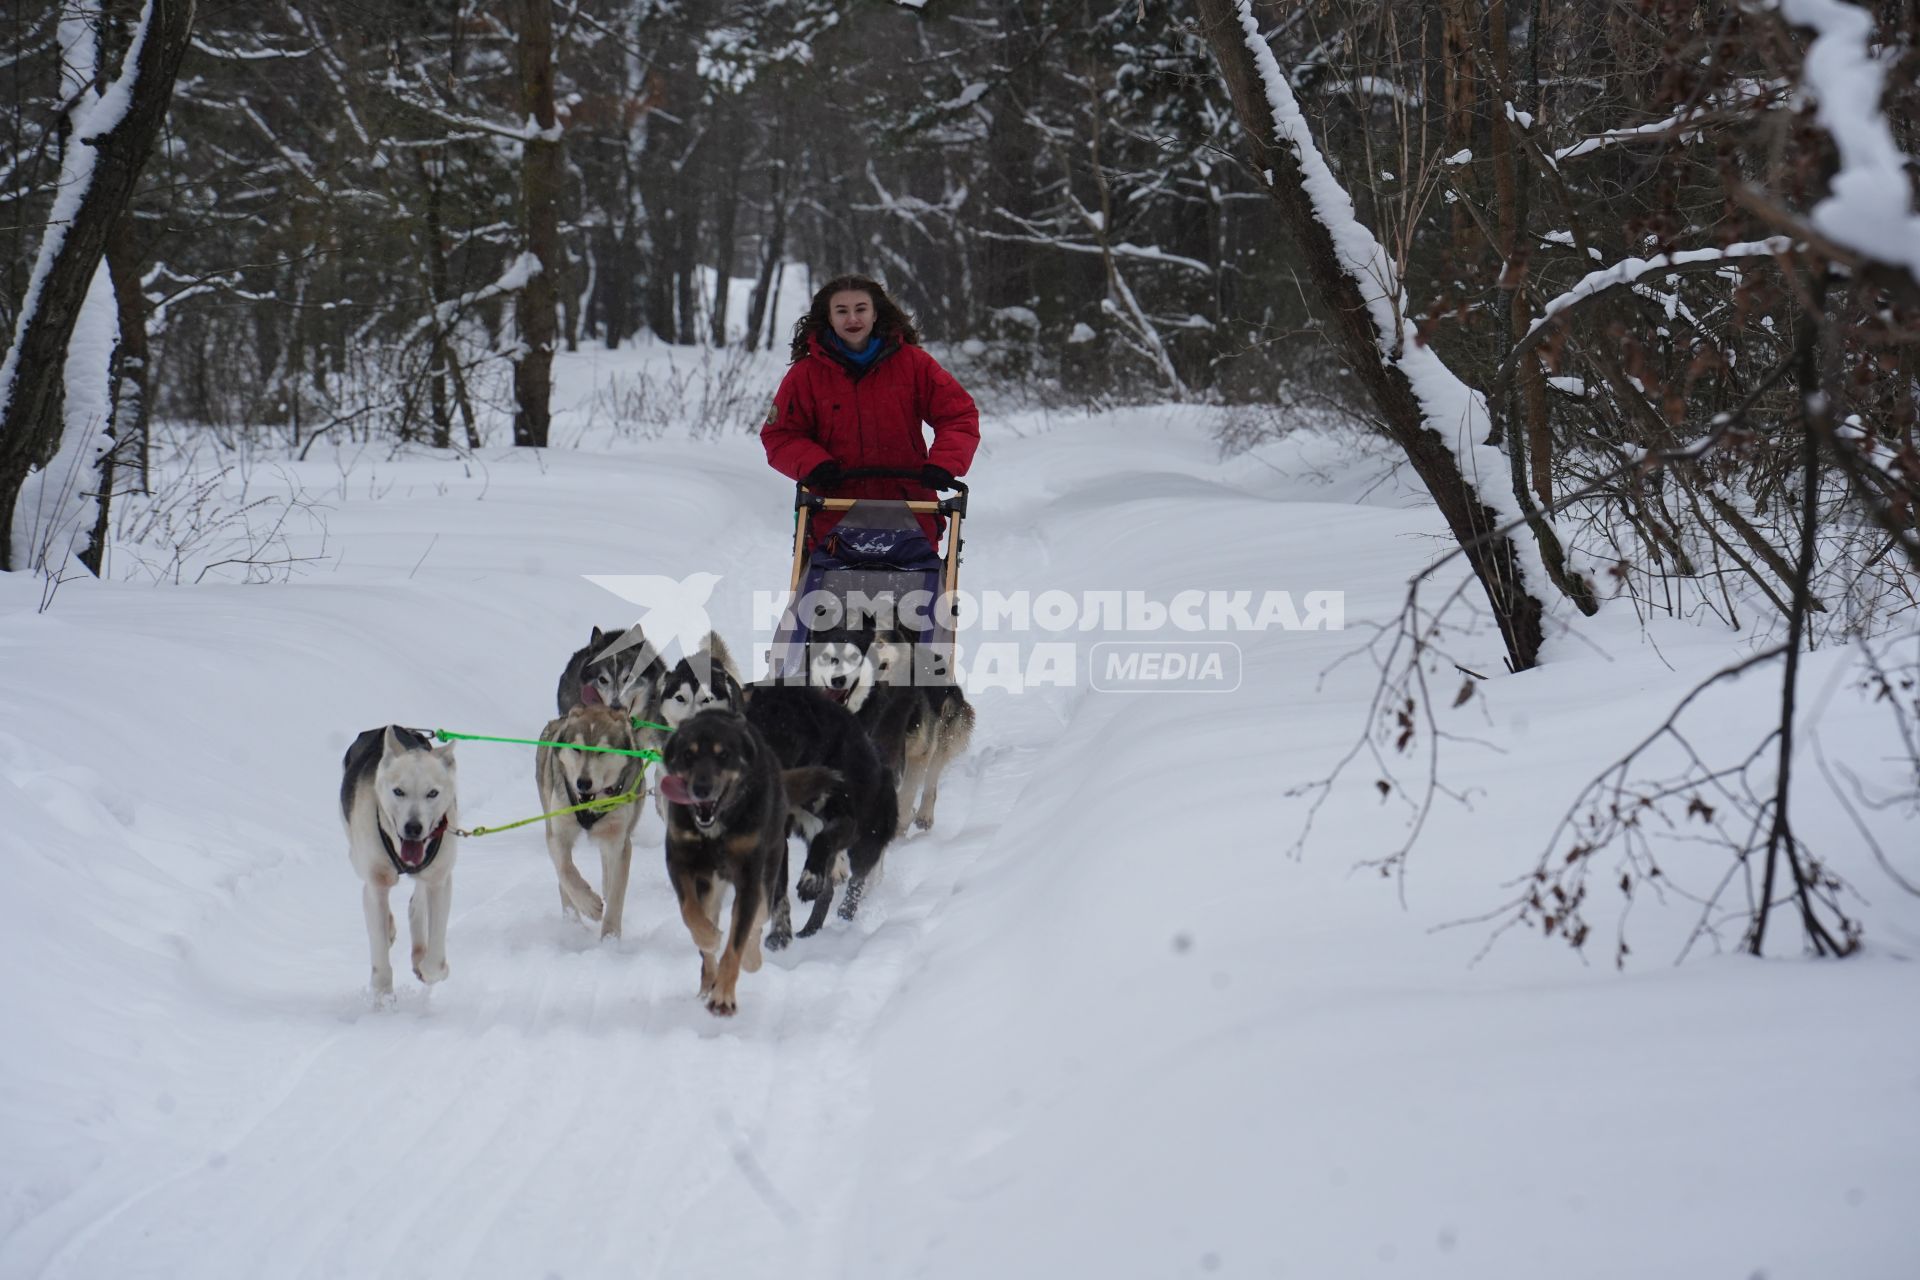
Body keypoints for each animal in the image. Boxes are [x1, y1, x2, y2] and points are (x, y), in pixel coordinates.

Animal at [337, 725, 456, 997]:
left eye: (432, 793)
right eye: (399, 791)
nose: (413, 827)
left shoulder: (440, 881)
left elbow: (435, 963)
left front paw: (431, 969)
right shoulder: (376, 884)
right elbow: (379, 949)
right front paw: (382, 992)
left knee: (416, 903)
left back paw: (418, 952)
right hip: (357, 857)